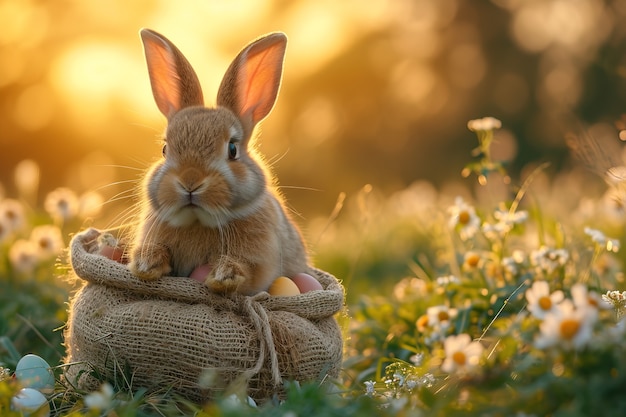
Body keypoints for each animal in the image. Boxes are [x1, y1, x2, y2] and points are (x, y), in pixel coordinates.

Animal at [128, 28, 308, 296]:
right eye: (164, 149)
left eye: (232, 149)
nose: (190, 181)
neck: (199, 222)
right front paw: (145, 264)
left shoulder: (261, 260)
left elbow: (248, 271)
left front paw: (223, 277)